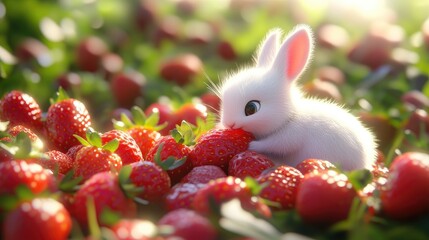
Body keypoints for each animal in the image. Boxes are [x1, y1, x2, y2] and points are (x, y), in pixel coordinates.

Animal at [217, 25, 374, 170]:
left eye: (251, 108)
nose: (229, 124)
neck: (289, 117)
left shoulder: (291, 136)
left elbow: (275, 144)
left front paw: (252, 145)